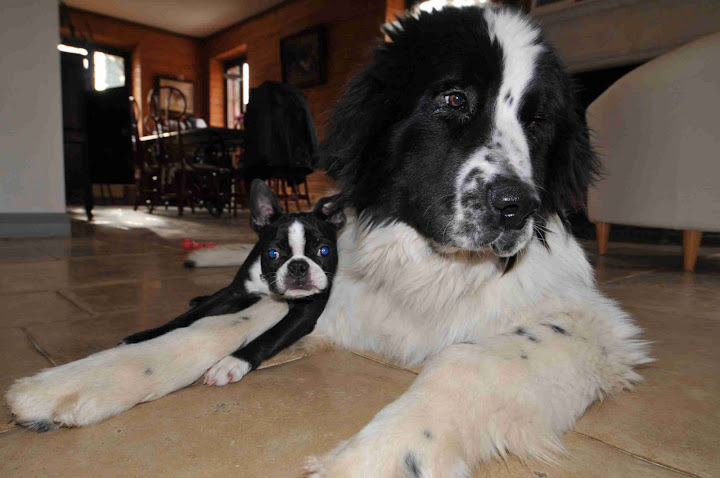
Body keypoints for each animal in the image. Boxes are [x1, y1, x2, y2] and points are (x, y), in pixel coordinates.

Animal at [6, 180, 344, 429]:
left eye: (324, 251)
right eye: (272, 254)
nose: (298, 267)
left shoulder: (305, 311)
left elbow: (268, 339)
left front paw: (231, 363)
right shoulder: (233, 292)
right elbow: (183, 318)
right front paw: (143, 336)